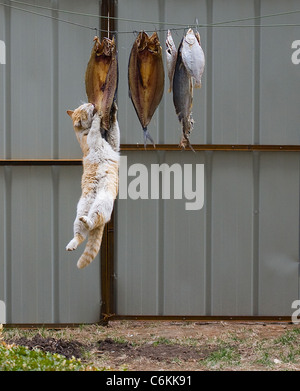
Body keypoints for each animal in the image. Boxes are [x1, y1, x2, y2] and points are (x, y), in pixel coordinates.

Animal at [66, 101, 119, 270]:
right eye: (84, 108)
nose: (91, 103)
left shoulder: (113, 143)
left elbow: (114, 130)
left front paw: (113, 111)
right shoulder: (94, 138)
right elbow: (95, 129)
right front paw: (97, 117)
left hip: (98, 204)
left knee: (88, 227)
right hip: (92, 207)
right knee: (84, 229)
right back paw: (73, 241)